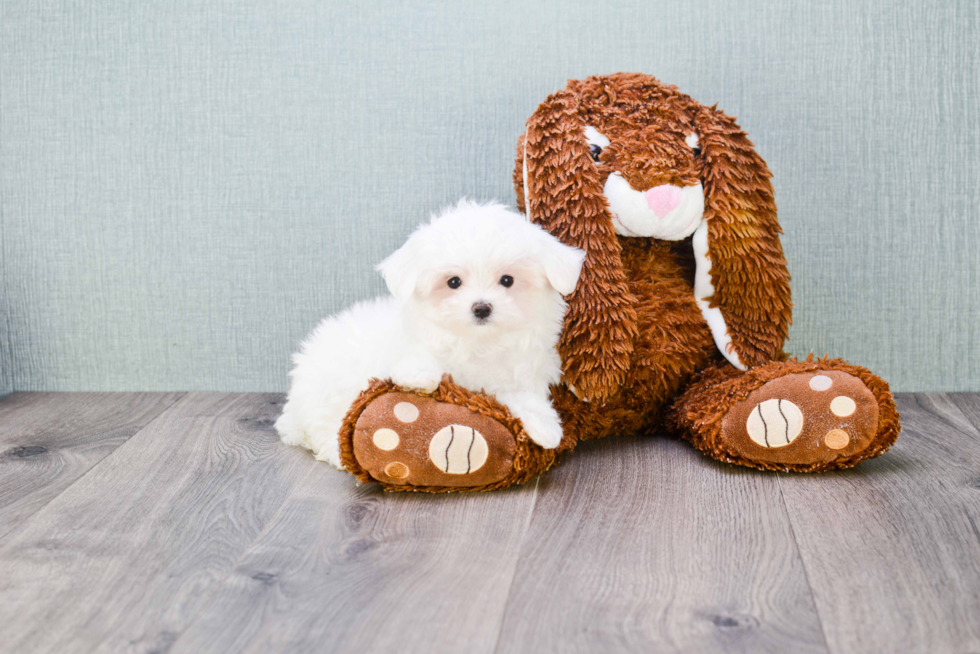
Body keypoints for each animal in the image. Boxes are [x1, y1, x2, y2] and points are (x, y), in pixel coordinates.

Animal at [272, 197, 584, 468]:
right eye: (454, 282)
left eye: (507, 280)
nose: (482, 307)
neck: (478, 343)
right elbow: (417, 356)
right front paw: (420, 376)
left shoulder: (518, 373)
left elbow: (522, 396)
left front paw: (545, 426)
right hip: (327, 395)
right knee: (327, 428)